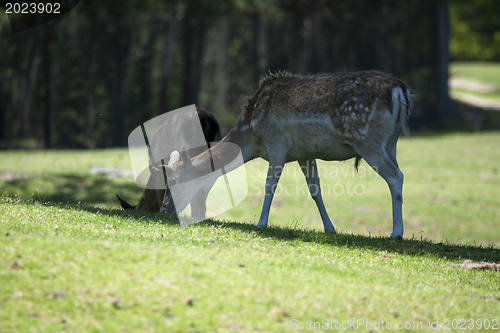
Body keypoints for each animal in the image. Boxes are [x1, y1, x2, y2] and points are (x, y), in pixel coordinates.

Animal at [159, 70, 410, 236]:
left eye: (174, 180)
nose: (163, 210)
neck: (252, 131)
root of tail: (400, 90)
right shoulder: (305, 153)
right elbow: (315, 190)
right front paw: (329, 228)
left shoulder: (277, 143)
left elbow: (270, 184)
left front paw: (261, 222)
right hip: (391, 143)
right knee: (397, 172)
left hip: (368, 140)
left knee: (396, 176)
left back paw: (396, 232)